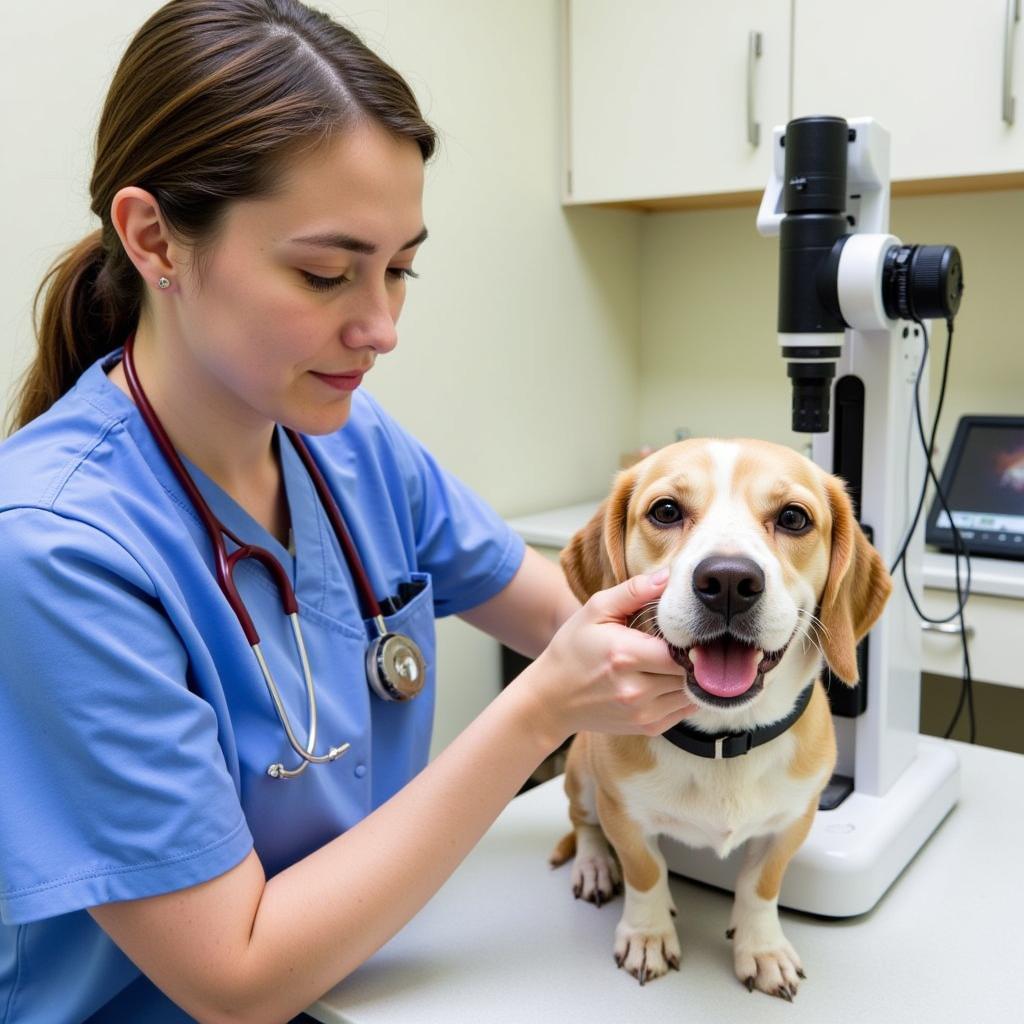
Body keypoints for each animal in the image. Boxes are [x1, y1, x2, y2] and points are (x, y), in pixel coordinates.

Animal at [548, 438, 892, 999]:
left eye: (793, 517)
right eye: (666, 511)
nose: (729, 580)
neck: (724, 740)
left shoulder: (793, 821)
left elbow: (760, 886)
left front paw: (762, 947)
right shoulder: (622, 811)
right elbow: (646, 870)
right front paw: (647, 934)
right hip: (580, 773)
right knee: (584, 825)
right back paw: (595, 865)